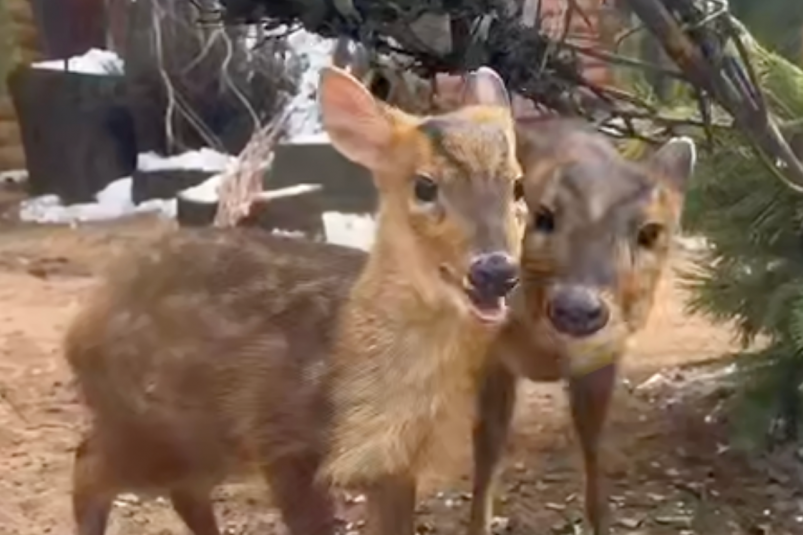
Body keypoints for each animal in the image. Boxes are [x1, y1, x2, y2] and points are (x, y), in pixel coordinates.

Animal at [66, 63, 524, 535]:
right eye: (425, 185)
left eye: (517, 186)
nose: (495, 270)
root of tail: (81, 327)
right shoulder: (282, 438)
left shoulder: (393, 465)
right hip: (154, 425)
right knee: (88, 466)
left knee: (180, 490)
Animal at [464, 118, 696, 535]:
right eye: (542, 214)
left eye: (650, 231)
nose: (577, 308)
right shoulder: (490, 352)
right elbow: (487, 451)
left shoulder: (604, 353)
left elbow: (593, 450)